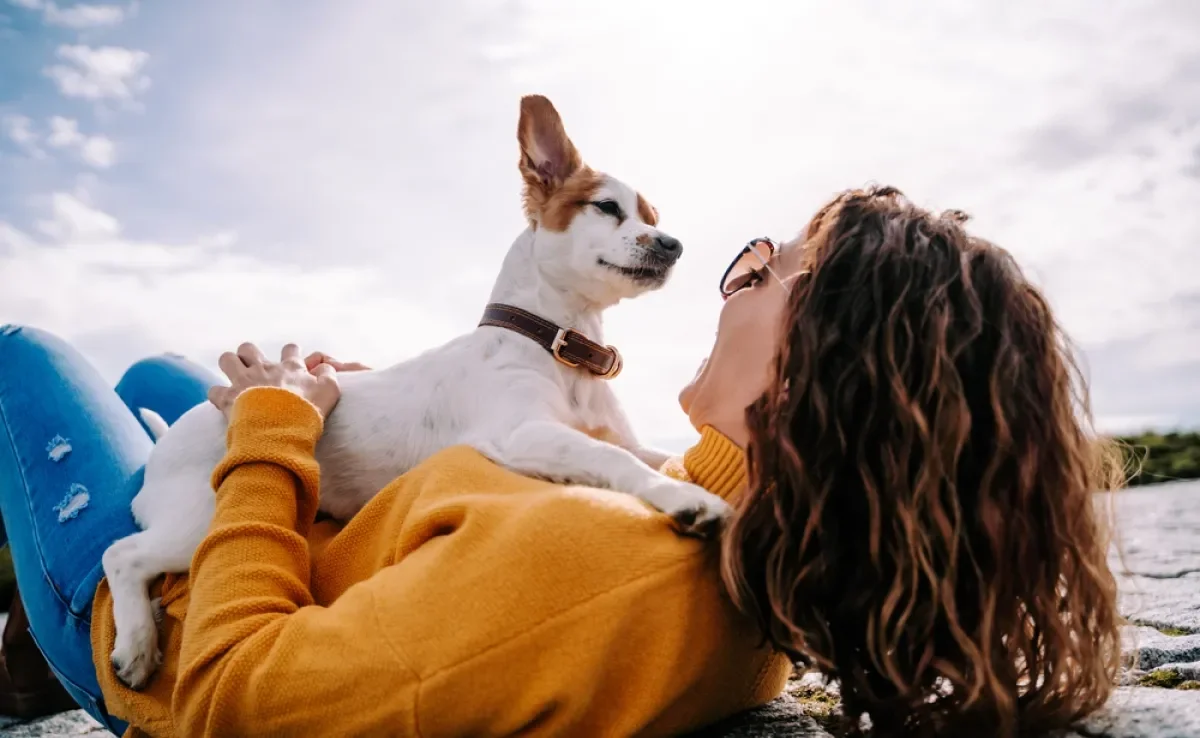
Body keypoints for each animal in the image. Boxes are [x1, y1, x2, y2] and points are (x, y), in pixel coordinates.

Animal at [103, 95, 734, 691]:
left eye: (654, 216)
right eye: (607, 208)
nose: (674, 244)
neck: (562, 351)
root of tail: (165, 442)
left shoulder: (617, 438)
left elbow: (649, 454)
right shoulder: (522, 434)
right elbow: (612, 458)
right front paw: (685, 499)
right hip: (197, 523)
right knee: (120, 554)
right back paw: (136, 643)